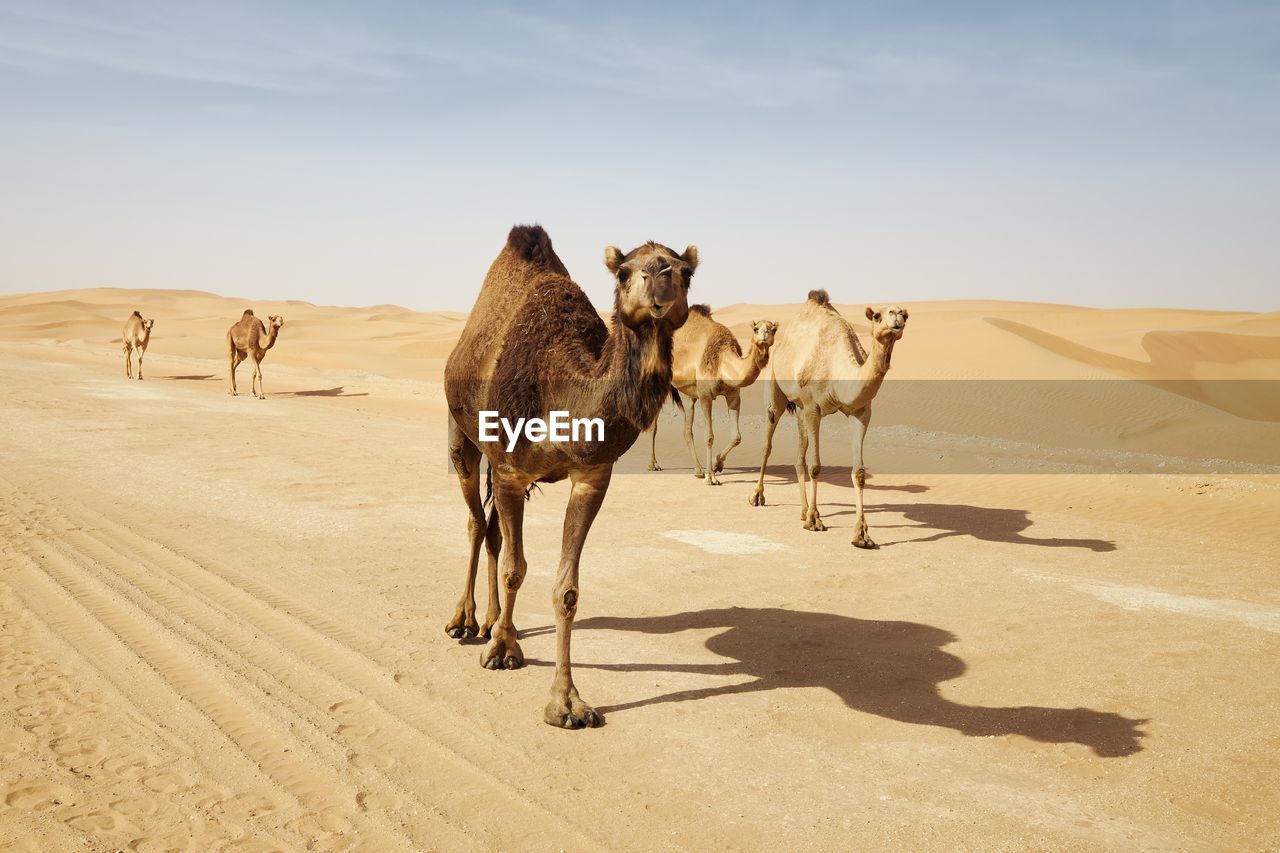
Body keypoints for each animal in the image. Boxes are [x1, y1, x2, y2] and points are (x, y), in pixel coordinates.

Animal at [650, 306, 778, 481]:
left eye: (773, 329)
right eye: (756, 328)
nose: (764, 335)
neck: (722, 360)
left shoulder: (733, 396)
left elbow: (737, 437)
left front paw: (717, 463)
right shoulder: (705, 396)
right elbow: (709, 436)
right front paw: (710, 478)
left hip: (689, 395)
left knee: (686, 430)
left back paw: (698, 470)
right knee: (654, 425)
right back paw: (653, 465)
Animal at [747, 290, 911, 545]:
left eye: (905, 314)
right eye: (877, 315)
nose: (897, 318)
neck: (838, 369)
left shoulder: (860, 411)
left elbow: (859, 473)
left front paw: (861, 534)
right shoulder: (814, 407)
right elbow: (816, 466)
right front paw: (815, 520)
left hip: (800, 409)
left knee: (799, 455)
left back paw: (803, 510)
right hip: (776, 386)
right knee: (768, 441)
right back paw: (758, 495)